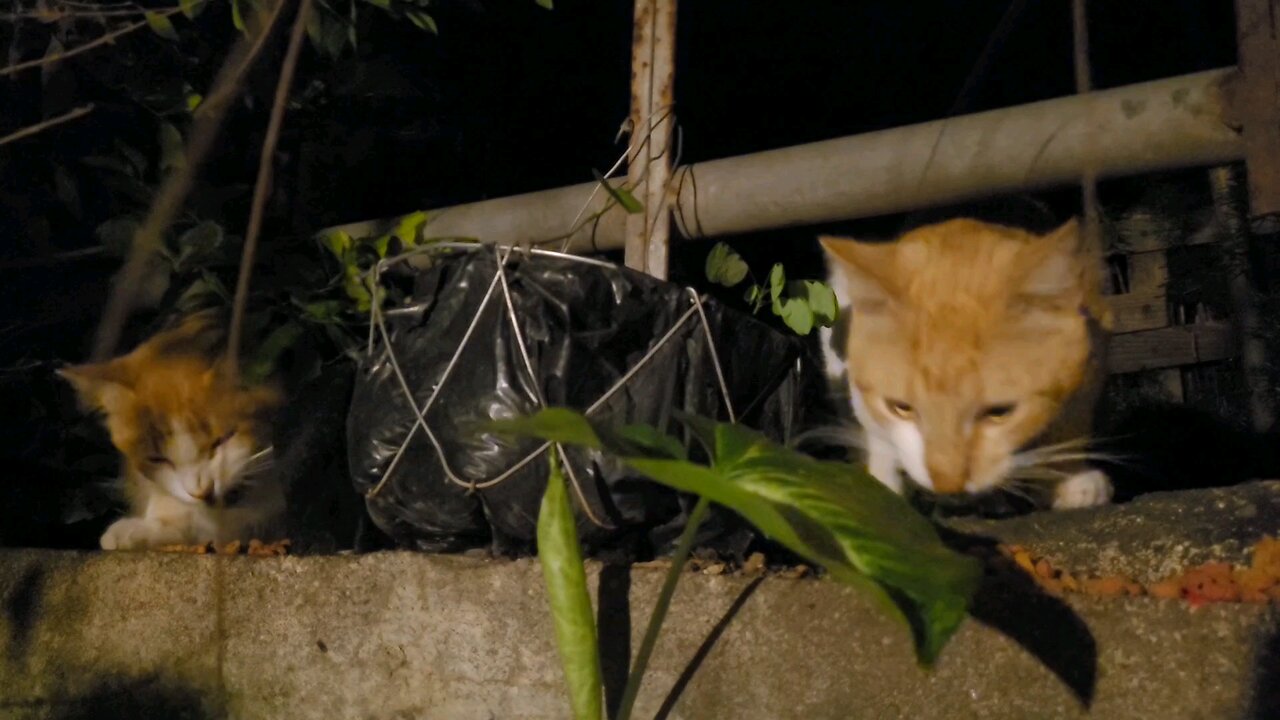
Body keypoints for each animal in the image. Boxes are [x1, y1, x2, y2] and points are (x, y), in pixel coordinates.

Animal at [819, 215, 1111, 507]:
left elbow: (1073, 425)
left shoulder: (1090, 370)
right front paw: (884, 489)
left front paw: (1071, 479)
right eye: (901, 408)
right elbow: (880, 440)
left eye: (999, 412)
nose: (948, 485)